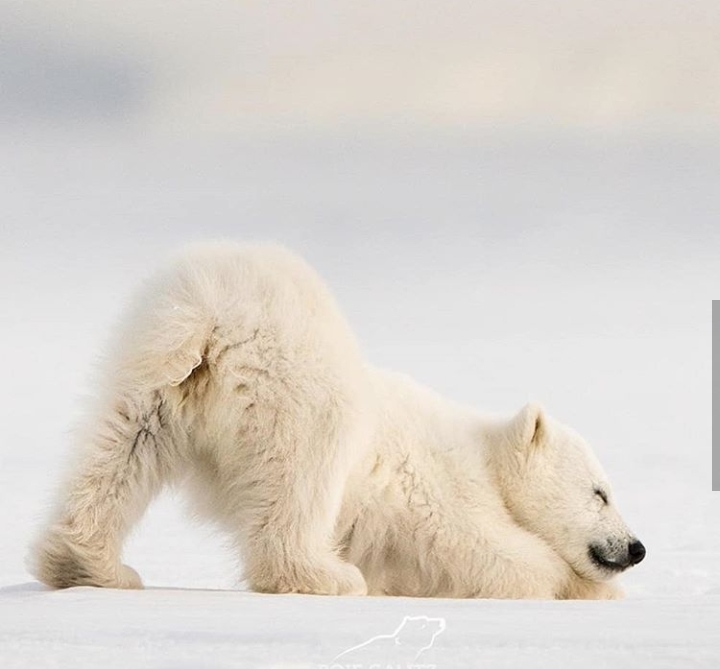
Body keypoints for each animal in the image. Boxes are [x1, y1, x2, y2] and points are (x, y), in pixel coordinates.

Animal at [30, 242, 645, 598]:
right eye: (601, 492)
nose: (636, 547)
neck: (488, 455)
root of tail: (214, 311)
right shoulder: (441, 486)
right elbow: (477, 545)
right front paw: (569, 584)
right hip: (295, 383)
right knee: (303, 473)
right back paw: (324, 575)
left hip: (155, 369)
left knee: (121, 447)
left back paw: (87, 564)